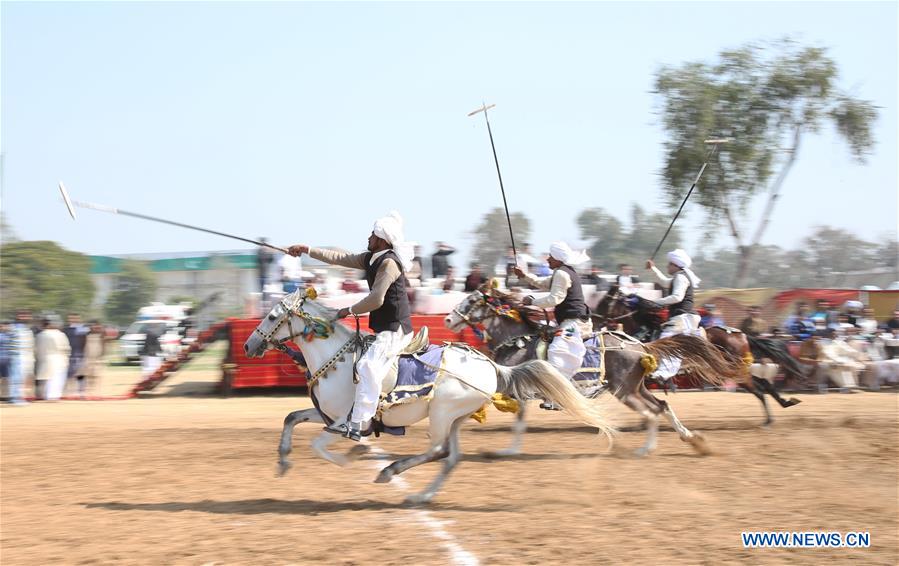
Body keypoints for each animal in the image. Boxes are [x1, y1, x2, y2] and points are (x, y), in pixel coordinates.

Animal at [243, 292, 616, 506]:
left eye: (274, 316)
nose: (248, 345)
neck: (335, 359)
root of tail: (490, 365)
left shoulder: (342, 421)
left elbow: (320, 445)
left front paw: (353, 456)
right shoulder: (326, 414)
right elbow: (291, 418)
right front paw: (283, 461)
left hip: (441, 414)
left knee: (437, 451)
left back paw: (390, 471)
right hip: (456, 419)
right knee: (451, 457)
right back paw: (421, 494)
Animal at [596, 286, 800, 428]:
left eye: (605, 301)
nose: (595, 318)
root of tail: (742, 335)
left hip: (733, 372)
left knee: (758, 390)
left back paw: (769, 419)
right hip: (734, 371)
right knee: (763, 384)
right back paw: (785, 404)